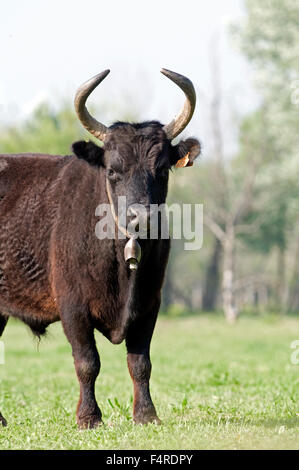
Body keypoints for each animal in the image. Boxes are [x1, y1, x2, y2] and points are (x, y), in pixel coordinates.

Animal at [0, 70, 202, 430]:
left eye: (162, 169)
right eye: (113, 170)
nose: (142, 217)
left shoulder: (149, 304)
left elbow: (141, 363)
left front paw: (146, 415)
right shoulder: (73, 308)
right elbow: (87, 362)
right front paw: (89, 417)